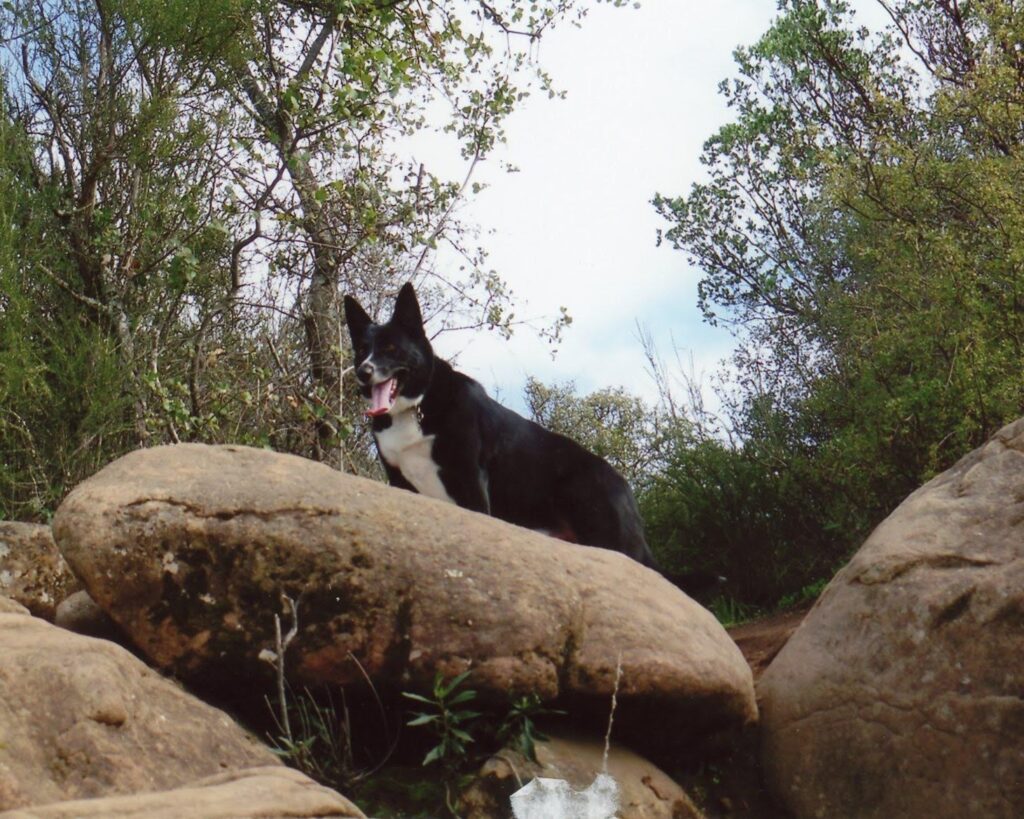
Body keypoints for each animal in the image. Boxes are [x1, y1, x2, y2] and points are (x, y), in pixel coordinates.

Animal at [348, 282, 659, 569]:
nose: (363, 372)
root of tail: (624, 487)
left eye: (391, 347)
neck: (417, 407)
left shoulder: (470, 483)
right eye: (362, 349)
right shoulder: (400, 482)